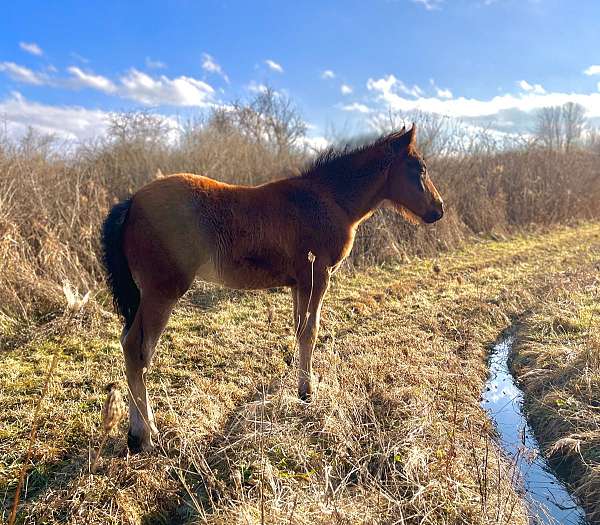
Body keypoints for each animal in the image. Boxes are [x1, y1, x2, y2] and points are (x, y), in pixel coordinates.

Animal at [101, 124, 442, 450]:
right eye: (419, 168)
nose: (438, 209)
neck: (329, 200)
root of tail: (132, 203)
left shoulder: (298, 283)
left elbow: (300, 329)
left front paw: (301, 386)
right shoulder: (318, 276)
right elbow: (311, 331)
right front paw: (308, 392)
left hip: (144, 296)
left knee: (130, 346)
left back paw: (136, 432)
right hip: (161, 292)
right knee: (137, 350)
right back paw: (145, 436)